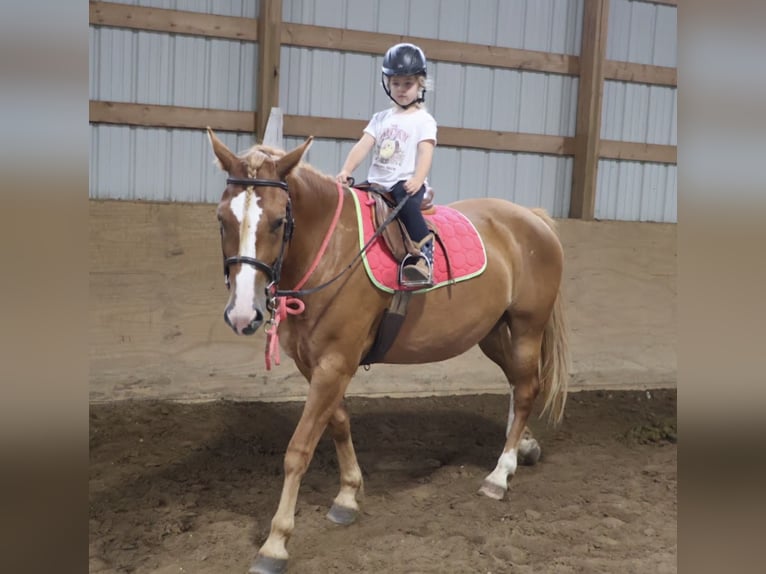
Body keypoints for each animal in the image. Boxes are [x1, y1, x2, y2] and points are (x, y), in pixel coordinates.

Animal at [207, 128, 570, 574]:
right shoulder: (317, 365)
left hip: (526, 327)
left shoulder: (335, 363)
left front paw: (275, 544)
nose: (243, 313)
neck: (330, 252)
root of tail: (532, 218)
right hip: (491, 333)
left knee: (526, 389)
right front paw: (347, 497)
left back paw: (499, 475)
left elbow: (299, 449)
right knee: (523, 384)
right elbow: (339, 423)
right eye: (222, 219)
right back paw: (525, 448)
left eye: (278, 221)